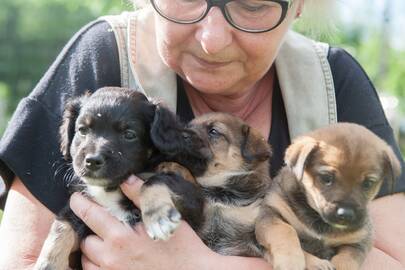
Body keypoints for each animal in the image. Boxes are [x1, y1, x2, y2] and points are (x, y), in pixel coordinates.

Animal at [34, 87, 156, 268]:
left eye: (129, 134)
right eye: (82, 130)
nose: (92, 161)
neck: (108, 190)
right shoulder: (74, 209)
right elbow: (61, 229)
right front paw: (47, 265)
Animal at [140, 108, 272, 256]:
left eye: (213, 131)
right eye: (187, 126)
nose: (180, 134)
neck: (219, 191)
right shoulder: (197, 217)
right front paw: (173, 167)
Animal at [254, 123, 400, 270]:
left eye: (368, 183)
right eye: (326, 178)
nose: (346, 214)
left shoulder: (359, 241)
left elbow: (346, 260)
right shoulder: (271, 213)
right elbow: (285, 230)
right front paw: (291, 260)